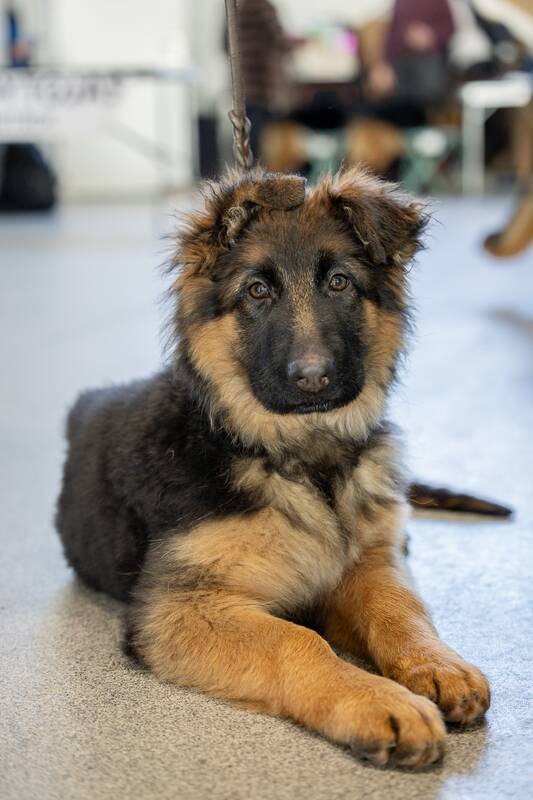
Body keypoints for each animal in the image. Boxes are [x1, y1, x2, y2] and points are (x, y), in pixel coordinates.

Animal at [56, 167, 492, 770]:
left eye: (340, 283)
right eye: (257, 291)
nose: (312, 378)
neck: (298, 457)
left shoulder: (365, 562)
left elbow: (399, 607)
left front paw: (436, 663)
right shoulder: (181, 607)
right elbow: (297, 640)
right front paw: (378, 700)